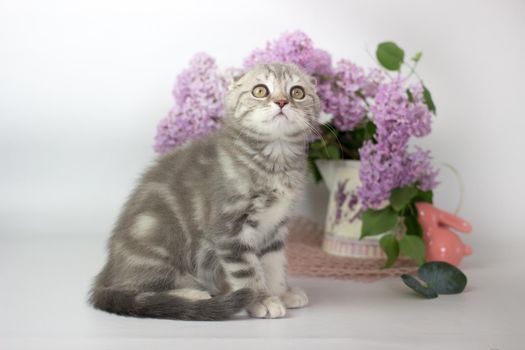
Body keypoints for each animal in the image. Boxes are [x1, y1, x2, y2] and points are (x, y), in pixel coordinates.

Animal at [89, 63, 320, 320]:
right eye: (260, 91)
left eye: (297, 92)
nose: (281, 101)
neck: (275, 160)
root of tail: (107, 274)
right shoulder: (229, 228)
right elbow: (248, 271)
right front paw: (261, 299)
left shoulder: (275, 228)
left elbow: (274, 264)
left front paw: (281, 292)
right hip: (158, 244)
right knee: (137, 290)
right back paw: (193, 295)